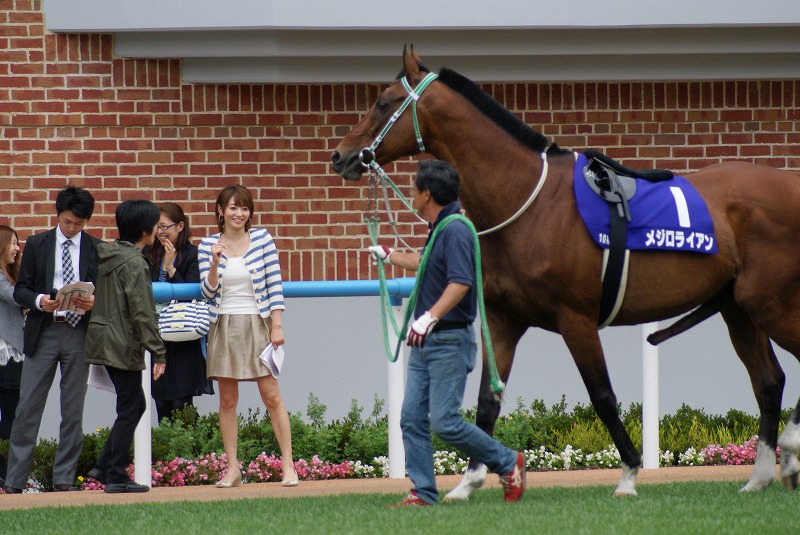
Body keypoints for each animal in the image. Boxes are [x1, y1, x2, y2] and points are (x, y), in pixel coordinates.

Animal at [330, 48, 800, 496]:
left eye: (382, 101)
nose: (340, 155)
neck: (529, 202)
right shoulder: (502, 320)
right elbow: (487, 402)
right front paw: (468, 482)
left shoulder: (577, 320)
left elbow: (603, 396)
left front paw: (628, 474)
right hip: (740, 309)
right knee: (768, 381)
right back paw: (760, 475)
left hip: (772, 305)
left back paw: (789, 448)